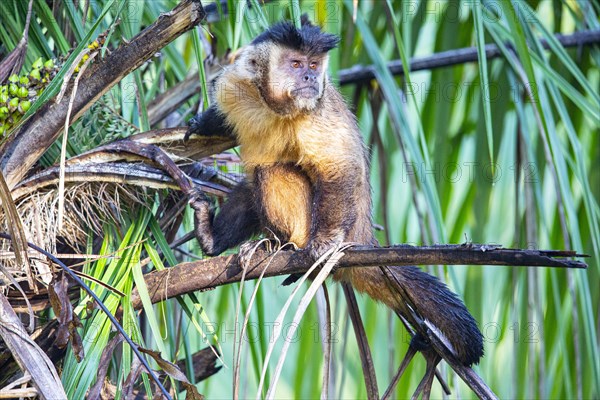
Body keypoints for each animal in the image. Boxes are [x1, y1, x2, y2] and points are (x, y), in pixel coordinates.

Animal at [185, 20, 486, 368]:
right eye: (296, 64)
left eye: (314, 65)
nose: (309, 78)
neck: (274, 107)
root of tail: (364, 234)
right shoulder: (236, 84)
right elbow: (224, 111)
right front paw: (202, 123)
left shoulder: (315, 114)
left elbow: (337, 168)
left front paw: (324, 244)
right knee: (253, 182)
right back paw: (213, 238)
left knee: (270, 171)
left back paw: (286, 245)